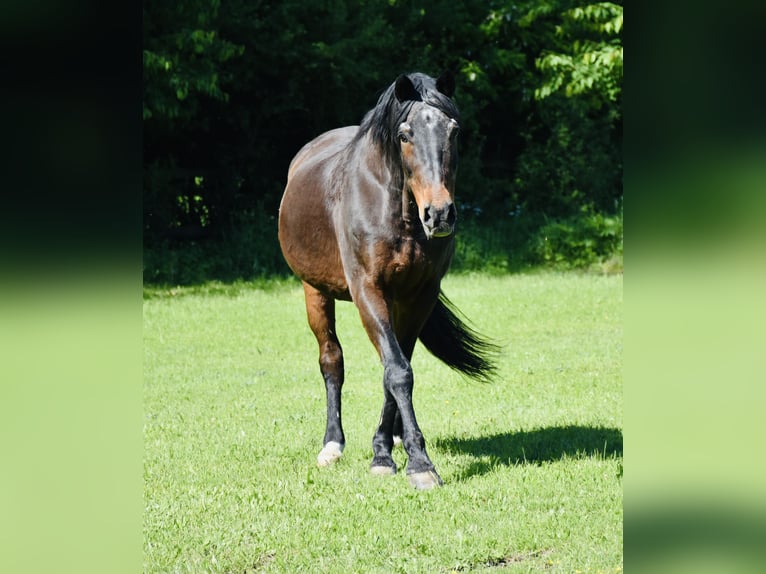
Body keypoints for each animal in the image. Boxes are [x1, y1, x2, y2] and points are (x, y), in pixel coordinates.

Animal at [278, 71, 497, 489]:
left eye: (454, 131)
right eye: (405, 135)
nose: (439, 214)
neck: (397, 211)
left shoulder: (419, 295)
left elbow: (397, 368)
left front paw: (387, 449)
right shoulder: (368, 291)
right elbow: (396, 371)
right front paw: (417, 463)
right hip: (315, 291)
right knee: (331, 361)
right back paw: (332, 446)